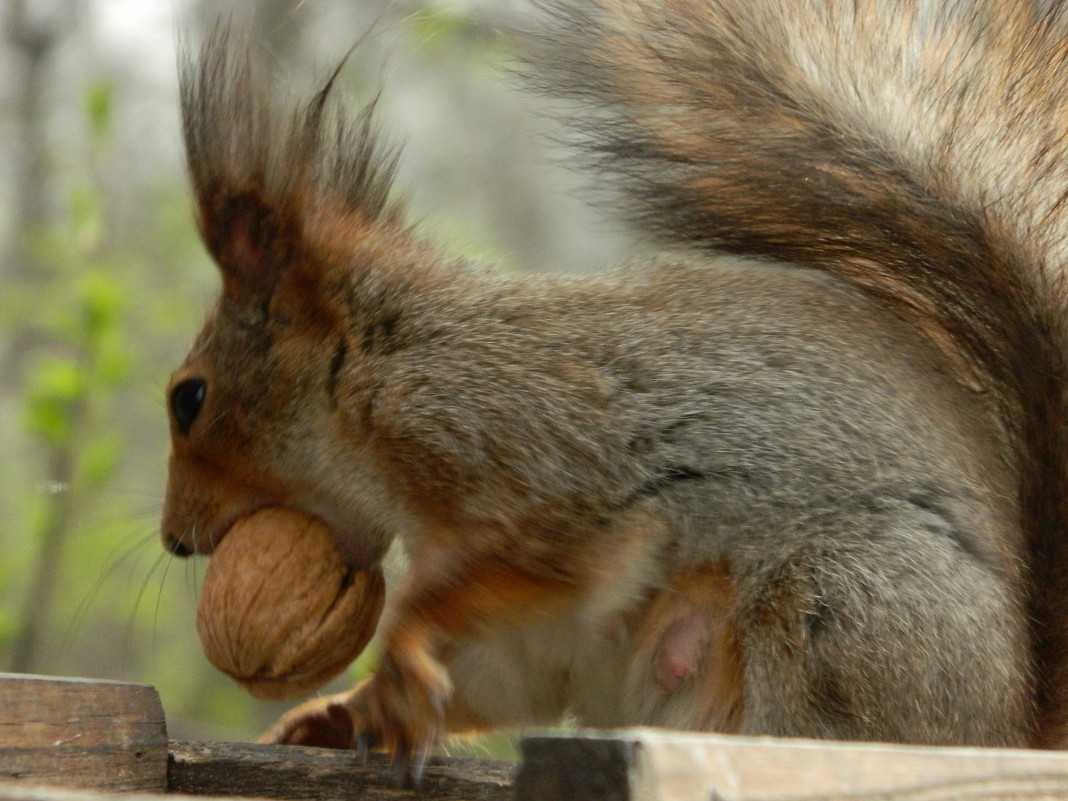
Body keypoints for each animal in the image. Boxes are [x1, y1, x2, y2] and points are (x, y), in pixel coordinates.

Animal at [162, 0, 1068, 773]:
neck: (384, 365)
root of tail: (1009, 723)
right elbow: (506, 676)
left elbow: (521, 570)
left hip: (840, 607)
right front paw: (336, 714)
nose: (173, 539)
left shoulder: (534, 459)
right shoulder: (534, 634)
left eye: (189, 399)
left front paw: (400, 656)